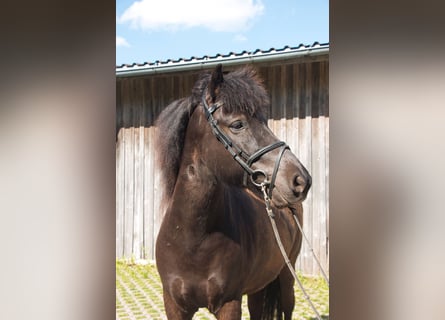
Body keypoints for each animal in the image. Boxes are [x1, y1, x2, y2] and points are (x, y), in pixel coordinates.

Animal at [154, 63, 310, 318]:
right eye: (238, 124)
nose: (301, 180)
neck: (194, 238)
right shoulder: (174, 306)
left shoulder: (229, 303)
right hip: (259, 284)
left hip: (287, 275)